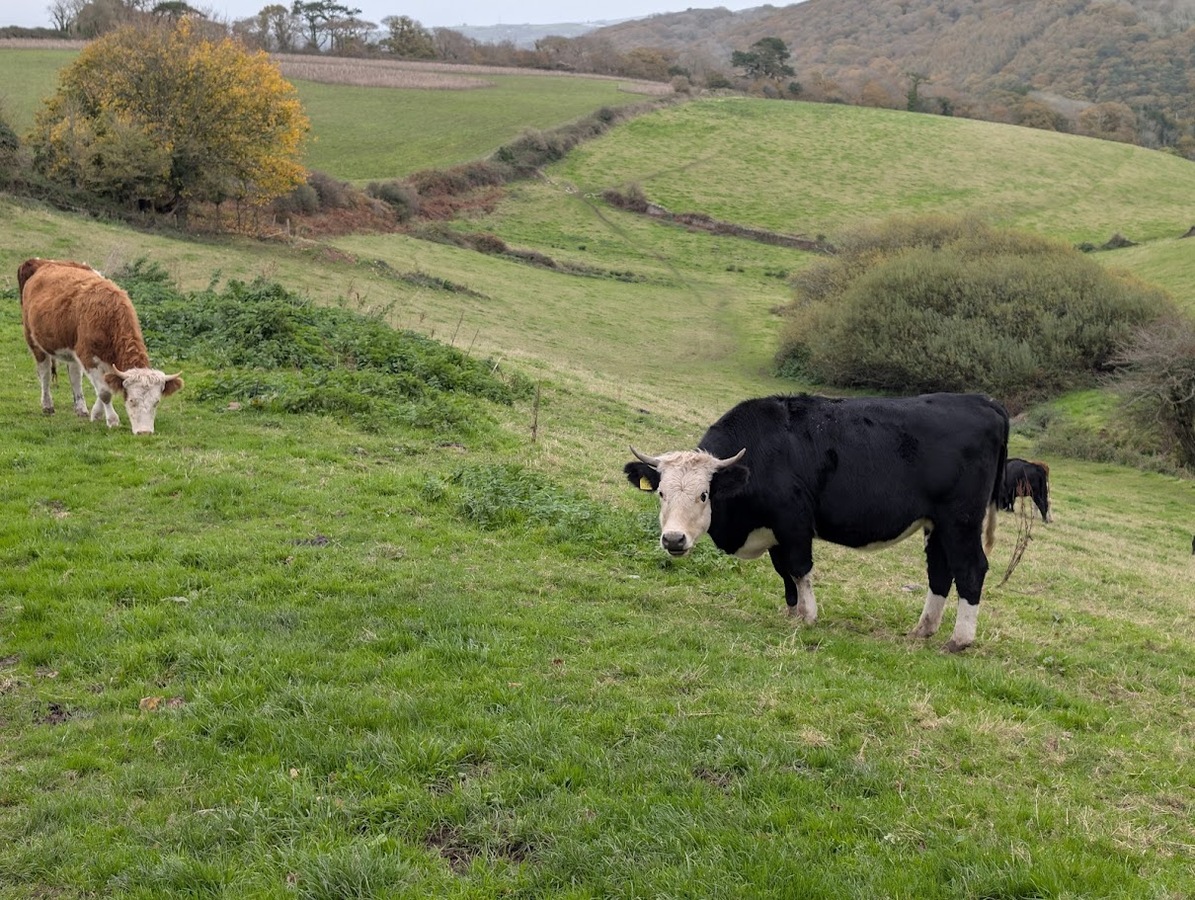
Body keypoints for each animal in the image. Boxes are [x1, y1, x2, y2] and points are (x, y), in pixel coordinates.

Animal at [18, 258, 183, 435]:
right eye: (132, 400)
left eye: (156, 402)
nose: (144, 432)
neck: (110, 316)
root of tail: (44, 262)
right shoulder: (88, 357)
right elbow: (104, 393)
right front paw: (112, 420)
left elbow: (106, 388)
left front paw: (96, 414)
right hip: (34, 341)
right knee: (45, 373)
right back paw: (47, 405)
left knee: (74, 376)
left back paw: (81, 409)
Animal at [624, 393, 1010, 652]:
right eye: (661, 493)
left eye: (704, 495)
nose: (673, 540)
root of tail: (982, 401)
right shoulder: (776, 532)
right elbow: (784, 573)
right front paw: (792, 613)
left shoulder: (794, 523)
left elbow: (799, 569)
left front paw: (808, 616)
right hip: (937, 523)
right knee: (940, 571)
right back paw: (923, 630)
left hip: (960, 520)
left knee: (971, 568)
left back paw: (960, 639)